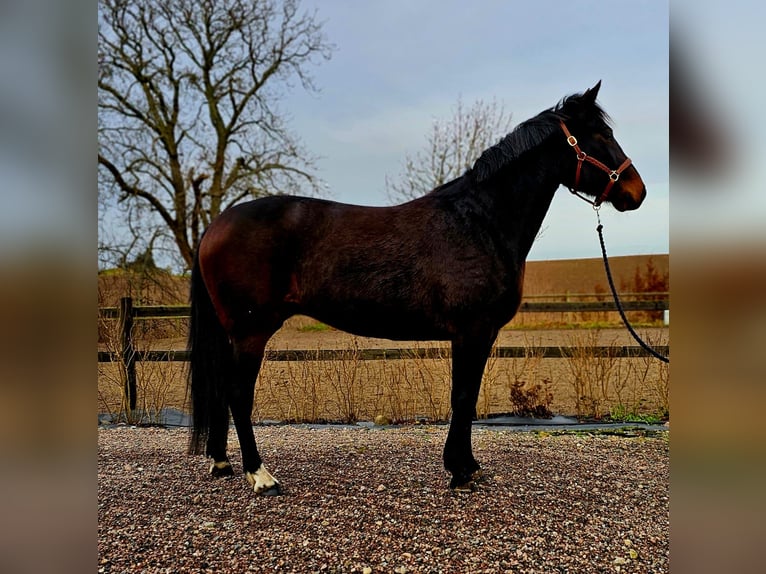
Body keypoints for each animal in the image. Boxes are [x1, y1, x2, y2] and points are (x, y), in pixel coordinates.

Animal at [186, 82, 648, 496]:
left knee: (223, 392)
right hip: (251, 332)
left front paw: (467, 466)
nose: (637, 192)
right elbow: (463, 397)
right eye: (601, 136)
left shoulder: (478, 334)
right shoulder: (473, 331)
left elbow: (467, 398)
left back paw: (222, 463)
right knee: (237, 393)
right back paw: (261, 476)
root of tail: (216, 224)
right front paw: (461, 472)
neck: (480, 221)